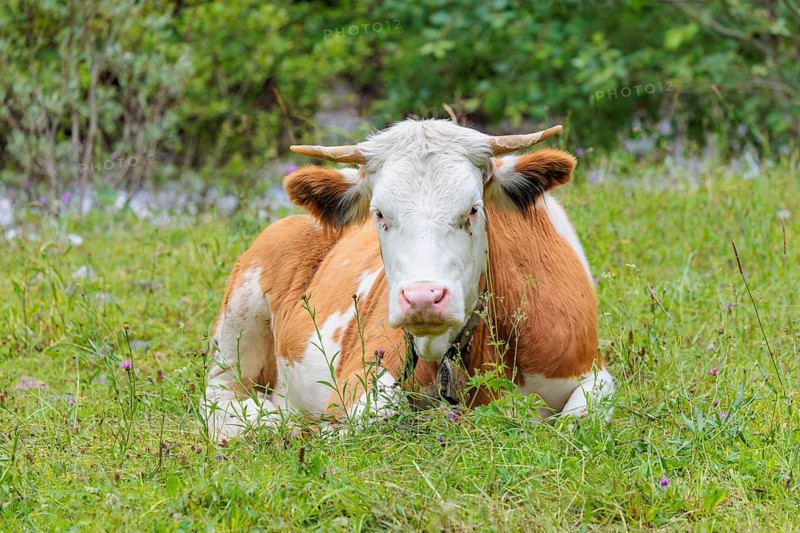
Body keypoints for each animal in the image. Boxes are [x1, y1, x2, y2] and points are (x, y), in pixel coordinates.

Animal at [202, 119, 614, 441]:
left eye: (473, 210)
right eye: (379, 214)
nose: (422, 298)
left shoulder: (589, 366)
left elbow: (585, 415)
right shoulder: (357, 380)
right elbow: (377, 411)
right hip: (238, 321)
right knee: (219, 397)